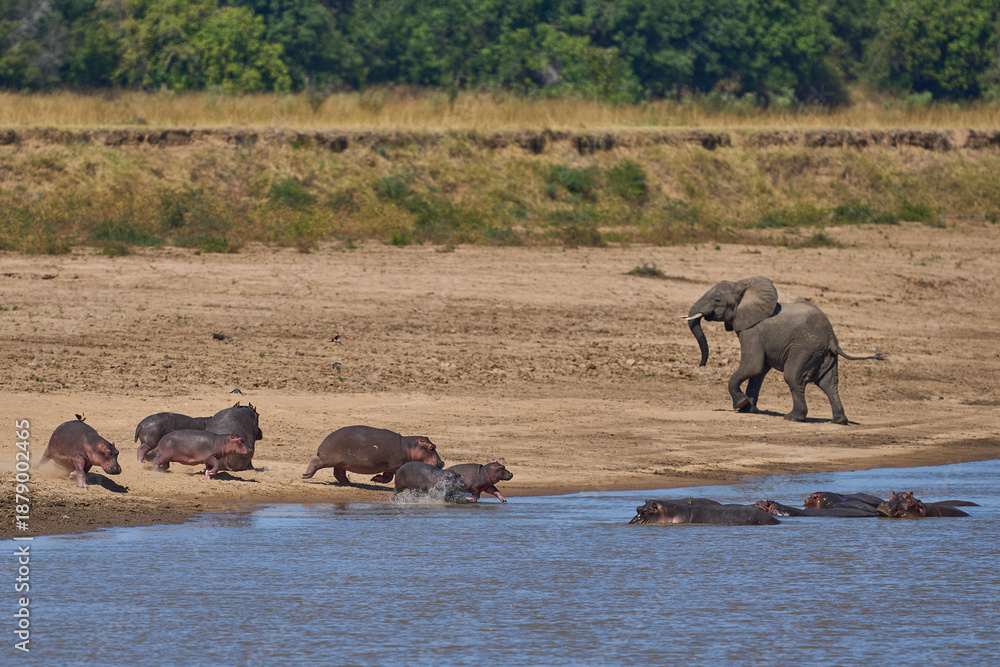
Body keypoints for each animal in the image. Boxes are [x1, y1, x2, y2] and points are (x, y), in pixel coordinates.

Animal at [301, 425, 445, 485]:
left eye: (434, 445)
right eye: (431, 447)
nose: (442, 463)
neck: (410, 447)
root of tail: (323, 442)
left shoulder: (389, 467)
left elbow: (387, 477)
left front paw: (374, 478)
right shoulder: (395, 466)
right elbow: (388, 478)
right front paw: (374, 478)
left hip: (340, 463)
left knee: (339, 474)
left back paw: (349, 483)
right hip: (328, 460)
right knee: (315, 461)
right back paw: (305, 475)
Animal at [684, 276, 883, 424]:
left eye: (717, 300)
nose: (701, 364)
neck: (743, 288)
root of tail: (832, 338)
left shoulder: (752, 331)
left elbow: (753, 366)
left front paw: (740, 404)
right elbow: (758, 374)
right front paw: (748, 410)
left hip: (805, 350)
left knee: (793, 377)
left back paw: (793, 418)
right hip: (825, 355)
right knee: (829, 384)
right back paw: (839, 421)